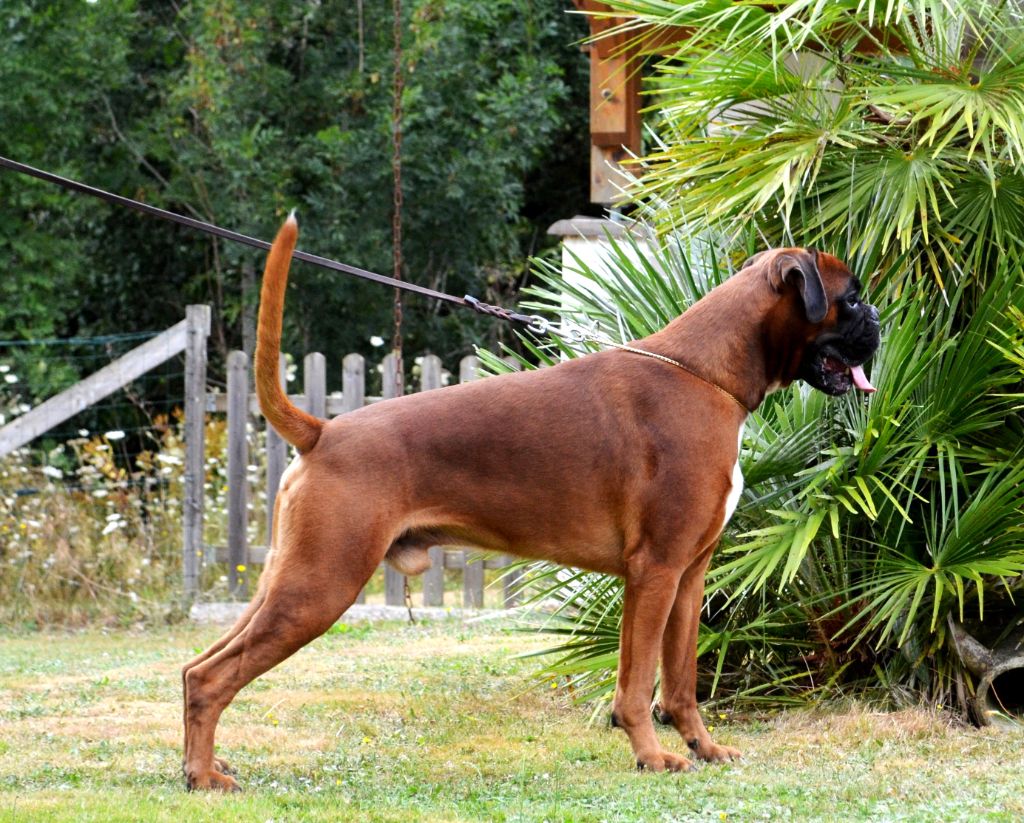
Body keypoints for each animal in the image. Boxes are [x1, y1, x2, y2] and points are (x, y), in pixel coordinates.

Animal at [178, 214, 880, 786]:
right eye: (849, 298)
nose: (879, 321)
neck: (704, 373)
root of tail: (323, 431)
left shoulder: (689, 576)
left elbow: (680, 680)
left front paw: (703, 749)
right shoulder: (654, 573)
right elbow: (635, 685)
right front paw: (652, 758)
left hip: (288, 581)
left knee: (196, 669)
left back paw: (203, 766)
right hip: (320, 586)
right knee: (213, 677)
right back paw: (204, 778)